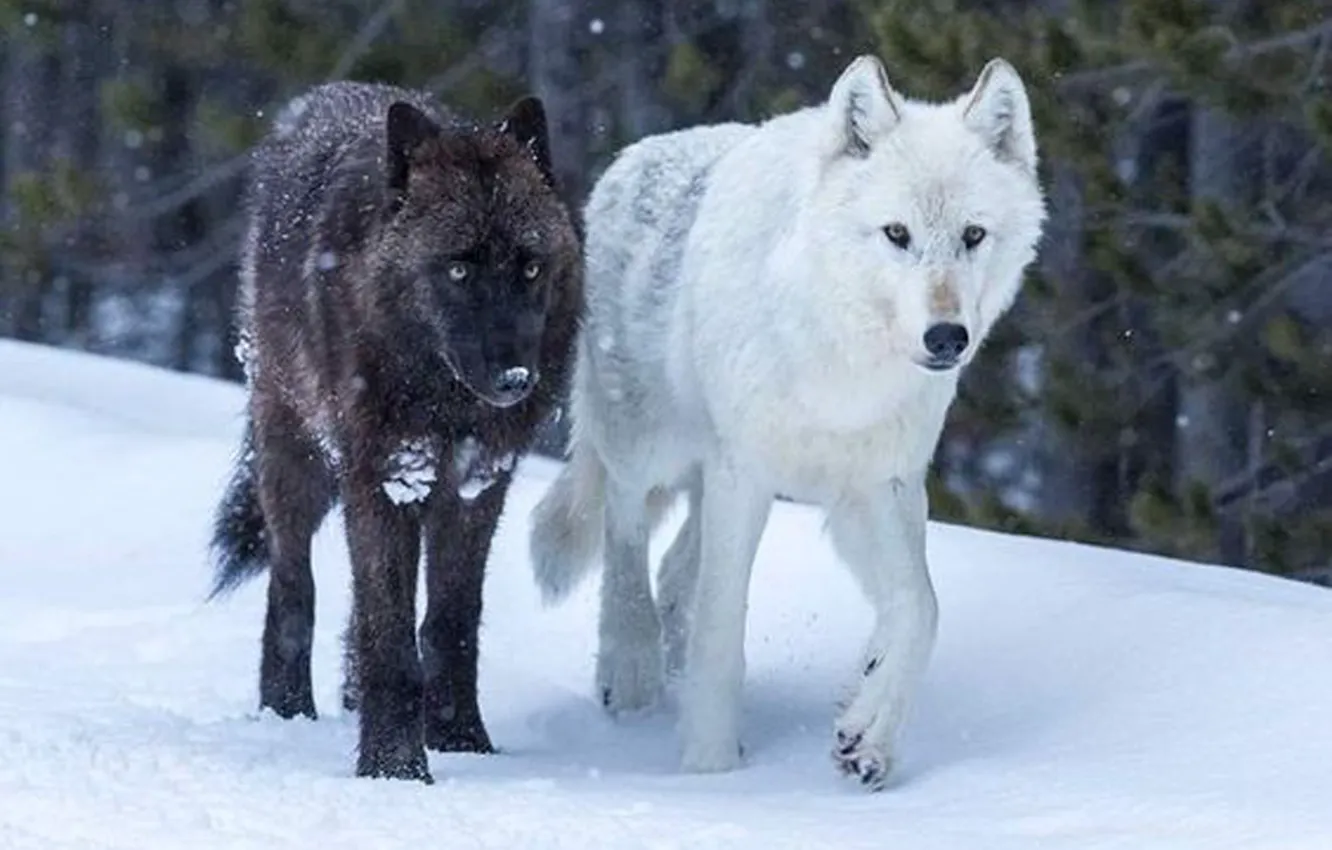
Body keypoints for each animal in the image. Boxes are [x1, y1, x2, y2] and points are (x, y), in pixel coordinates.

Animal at [209, 80, 582, 783]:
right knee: (293, 585)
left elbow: (449, 623)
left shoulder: (477, 488)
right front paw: (394, 768)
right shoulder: (383, 478)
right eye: (458, 270)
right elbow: (389, 637)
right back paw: (287, 711)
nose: (515, 378)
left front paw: (461, 740)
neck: (445, 401)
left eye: (529, 268)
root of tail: (323, 96)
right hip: (294, 458)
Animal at [528, 55, 1046, 789]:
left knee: (675, 572)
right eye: (897, 235)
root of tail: (633, 156)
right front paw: (711, 768)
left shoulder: (881, 487)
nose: (947, 337)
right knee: (627, 535)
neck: (842, 368)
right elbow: (723, 629)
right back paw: (631, 672)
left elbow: (920, 609)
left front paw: (868, 730)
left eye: (973, 235)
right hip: (649, 448)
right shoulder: (742, 475)